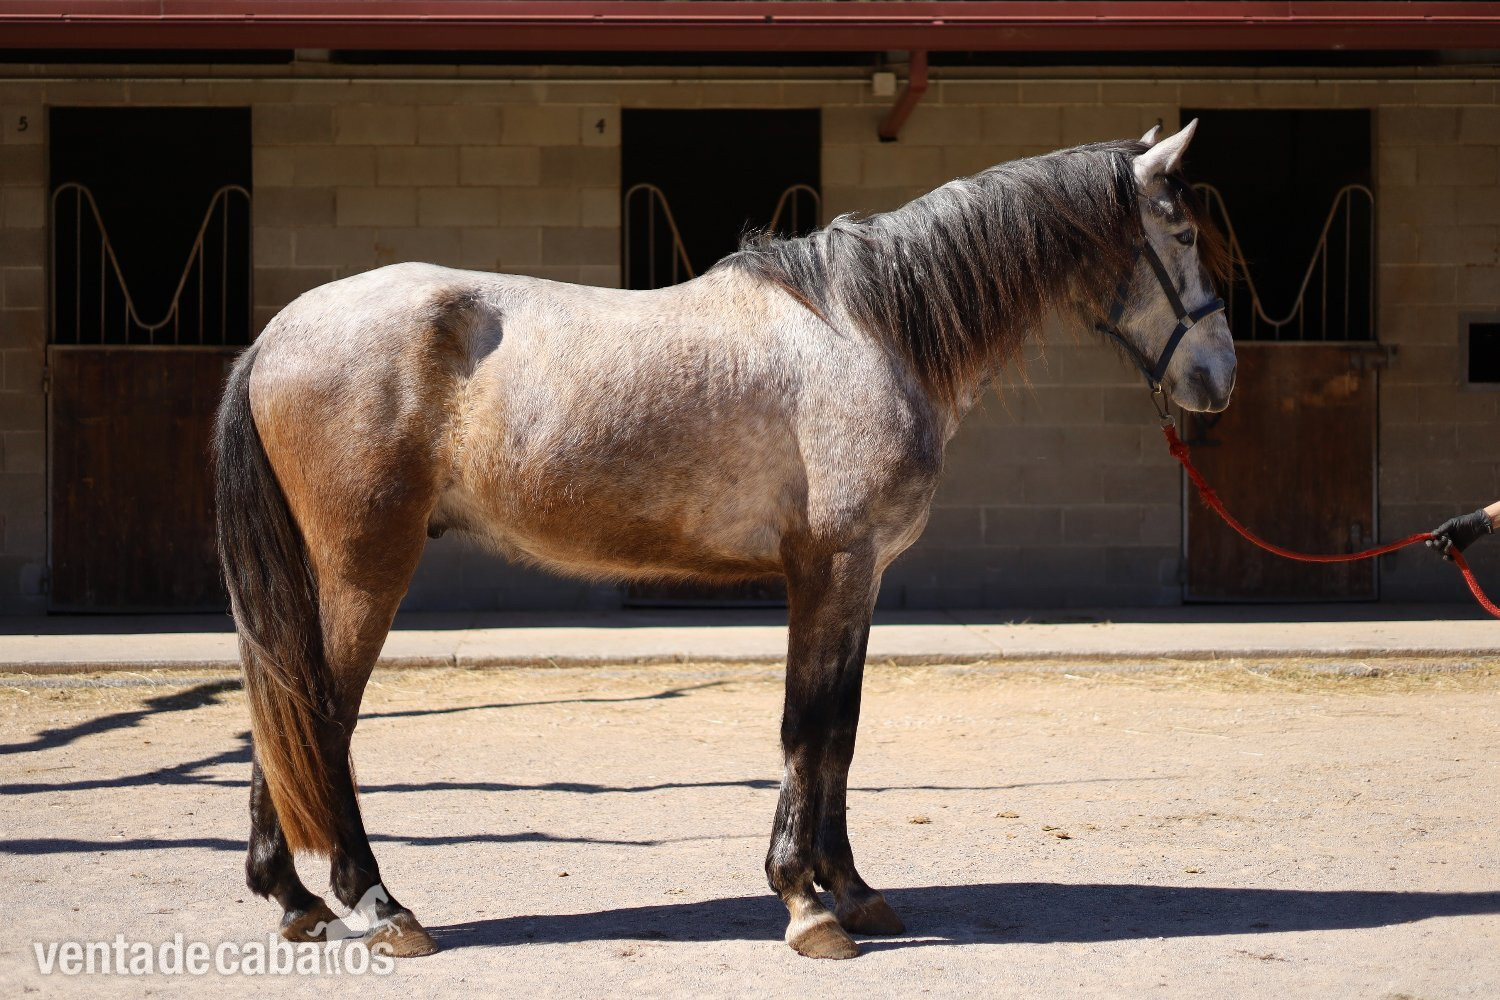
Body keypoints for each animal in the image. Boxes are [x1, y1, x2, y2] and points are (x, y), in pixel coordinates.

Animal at [214, 121, 1235, 961]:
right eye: (1182, 233)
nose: (1219, 380)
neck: (866, 332)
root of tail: (275, 337)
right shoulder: (830, 568)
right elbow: (806, 728)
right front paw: (806, 905)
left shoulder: (858, 580)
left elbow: (839, 732)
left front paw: (852, 890)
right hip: (363, 572)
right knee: (317, 719)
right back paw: (379, 906)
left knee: (283, 718)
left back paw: (296, 901)